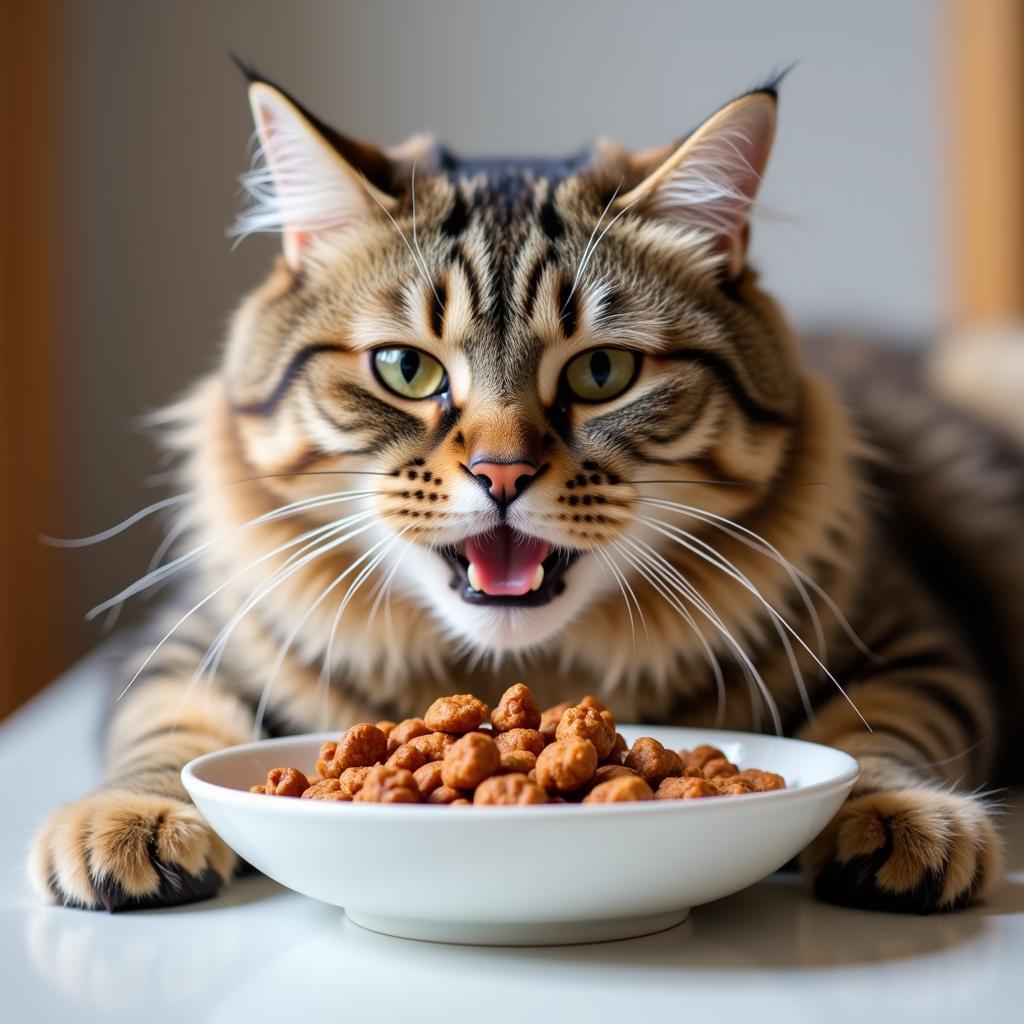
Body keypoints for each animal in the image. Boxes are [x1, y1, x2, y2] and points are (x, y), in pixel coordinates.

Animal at [28, 72, 1019, 917]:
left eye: (602, 373)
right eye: (405, 369)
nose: (500, 474)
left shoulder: (910, 639)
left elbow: (882, 734)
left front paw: (898, 818)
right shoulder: (181, 644)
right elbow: (167, 732)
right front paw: (129, 820)